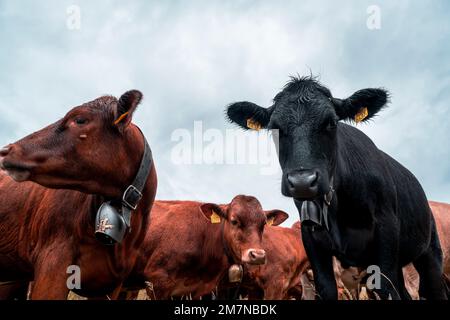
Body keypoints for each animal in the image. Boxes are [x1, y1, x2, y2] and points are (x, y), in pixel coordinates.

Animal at [227, 75, 448, 300]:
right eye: (275, 127)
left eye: (331, 122)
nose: (302, 181)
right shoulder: (312, 240)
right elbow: (326, 287)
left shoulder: (387, 229)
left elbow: (385, 286)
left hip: (430, 253)